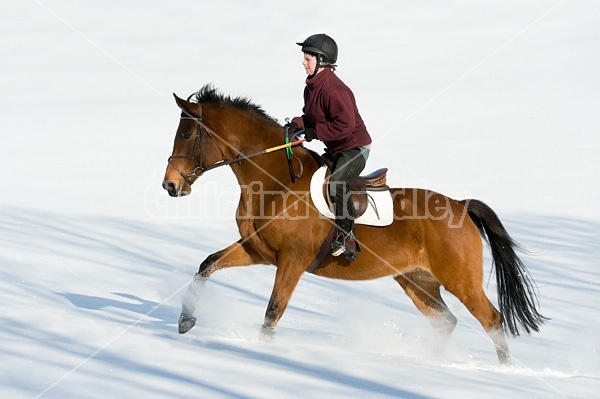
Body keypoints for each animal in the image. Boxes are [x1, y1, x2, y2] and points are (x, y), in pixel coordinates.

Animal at [162, 85, 548, 366]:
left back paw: (504, 373)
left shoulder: (292, 261)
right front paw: (185, 321)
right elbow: (207, 265)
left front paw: (262, 353)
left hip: (460, 281)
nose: (170, 185)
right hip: (417, 281)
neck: (275, 182)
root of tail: (462, 206)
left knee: (492, 320)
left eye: (187, 135)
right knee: (446, 322)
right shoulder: (258, 251)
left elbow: (273, 311)